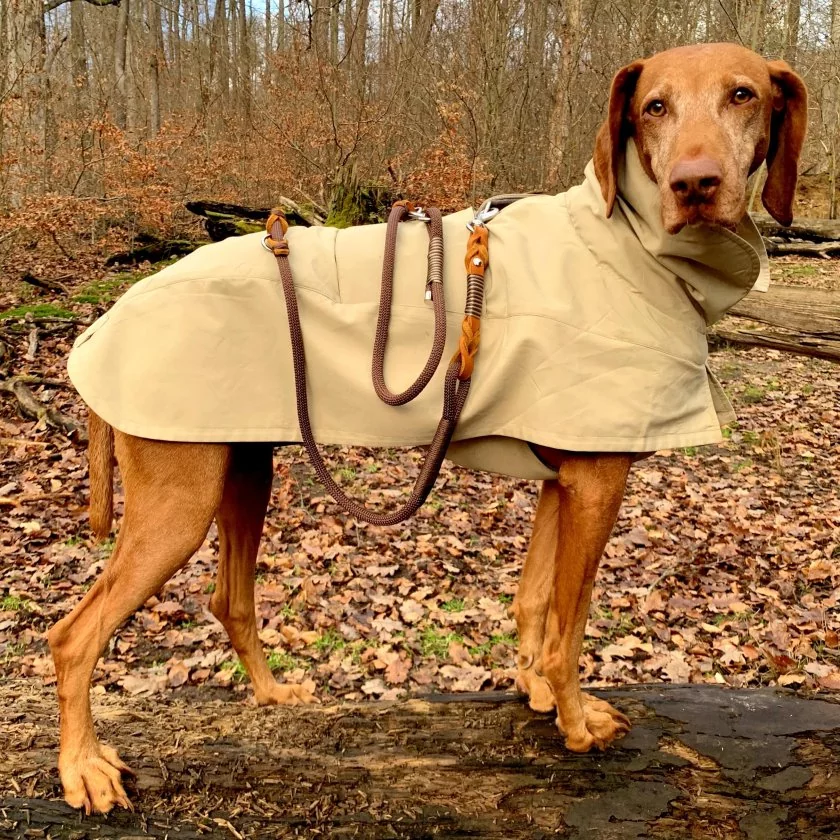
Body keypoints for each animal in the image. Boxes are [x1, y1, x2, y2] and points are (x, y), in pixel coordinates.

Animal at [46, 42, 808, 816]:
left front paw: (533, 691)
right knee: (72, 638)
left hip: (243, 471)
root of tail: (110, 316)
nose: (695, 184)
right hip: (179, 501)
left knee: (228, 600)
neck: (622, 239)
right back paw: (83, 766)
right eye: (654, 106)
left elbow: (534, 600)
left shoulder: (564, 481)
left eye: (743, 94)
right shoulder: (598, 483)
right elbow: (570, 627)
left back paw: (272, 694)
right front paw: (574, 722)